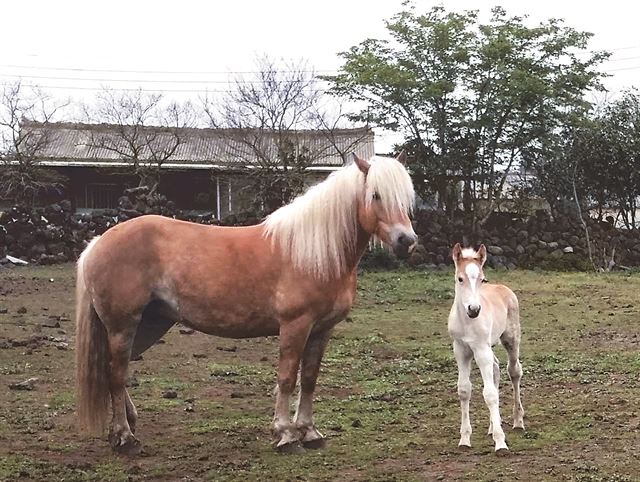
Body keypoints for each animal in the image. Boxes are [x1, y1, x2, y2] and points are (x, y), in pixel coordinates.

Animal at [76, 153, 416, 454]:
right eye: (375, 195)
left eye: (406, 197)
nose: (406, 241)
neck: (312, 253)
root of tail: (97, 242)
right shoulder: (295, 326)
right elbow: (287, 378)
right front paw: (285, 435)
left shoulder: (322, 330)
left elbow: (309, 378)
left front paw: (309, 432)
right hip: (123, 326)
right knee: (116, 375)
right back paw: (125, 438)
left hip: (150, 324)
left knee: (116, 372)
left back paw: (126, 426)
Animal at [448, 245, 524, 456]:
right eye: (460, 278)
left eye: (482, 279)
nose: (474, 309)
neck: (467, 322)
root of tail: (503, 288)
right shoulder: (461, 349)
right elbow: (464, 389)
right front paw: (464, 439)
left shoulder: (481, 349)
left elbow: (490, 394)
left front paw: (501, 444)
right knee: (496, 368)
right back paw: (492, 426)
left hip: (510, 338)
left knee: (514, 371)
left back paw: (518, 421)